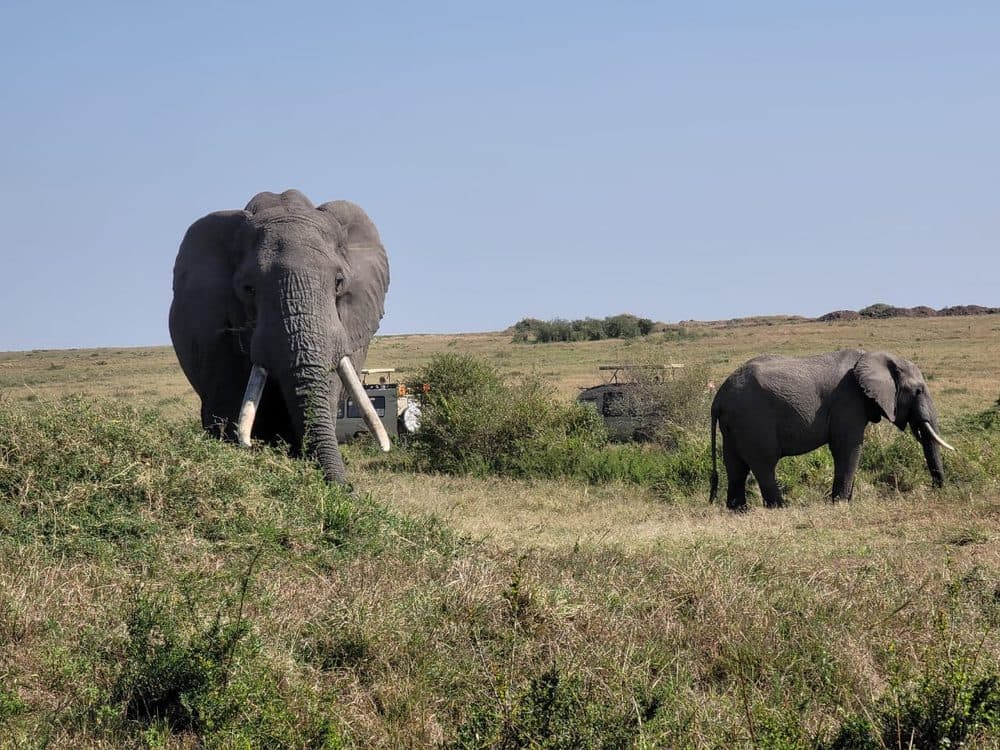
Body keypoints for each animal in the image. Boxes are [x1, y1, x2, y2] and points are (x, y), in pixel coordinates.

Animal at [709, 349, 954, 510]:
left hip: (734, 425)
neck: (873, 357)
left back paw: (737, 510)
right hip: (753, 420)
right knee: (764, 464)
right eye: (918, 391)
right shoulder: (847, 401)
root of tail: (718, 398)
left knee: (735, 465)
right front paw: (841, 503)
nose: (936, 489)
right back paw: (780, 507)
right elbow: (847, 447)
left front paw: (847, 500)